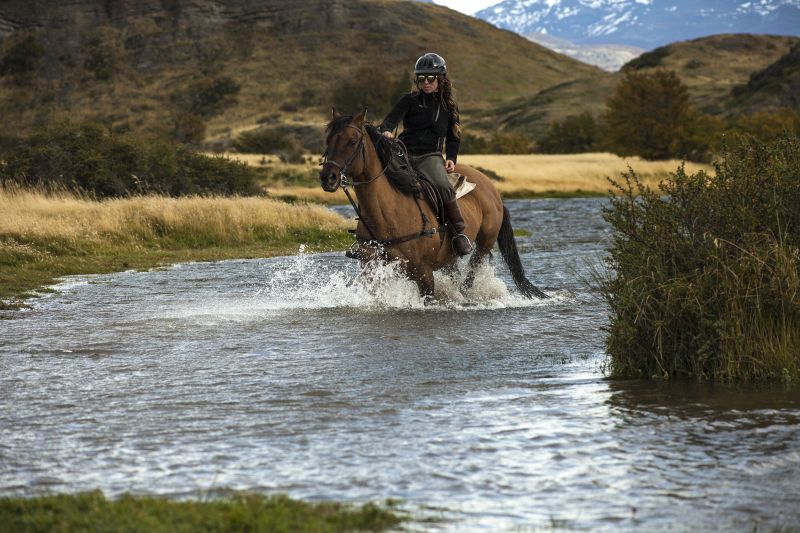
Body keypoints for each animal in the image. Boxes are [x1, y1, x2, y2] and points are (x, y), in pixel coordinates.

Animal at [318, 109, 552, 300]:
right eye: (328, 140)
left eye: (352, 141)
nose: (328, 177)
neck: (387, 214)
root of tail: (492, 189)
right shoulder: (371, 268)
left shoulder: (423, 272)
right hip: (449, 258)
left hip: (484, 242)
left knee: (471, 274)